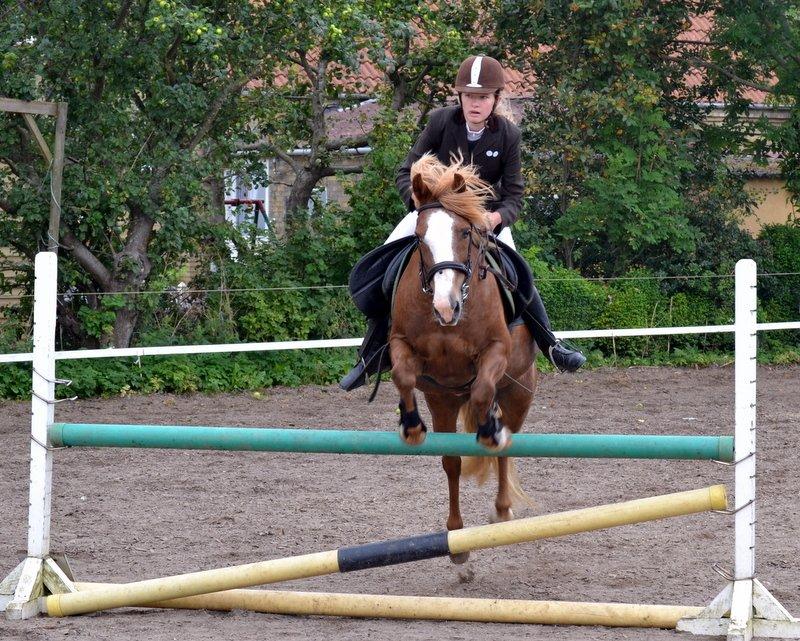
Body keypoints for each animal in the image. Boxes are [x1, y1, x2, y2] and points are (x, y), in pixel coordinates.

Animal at [389, 153, 538, 563]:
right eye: (419, 238)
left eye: (465, 234)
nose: (446, 306)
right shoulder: (408, 352)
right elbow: (402, 376)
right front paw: (411, 426)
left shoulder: (497, 351)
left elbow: (484, 389)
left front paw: (489, 429)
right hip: (442, 401)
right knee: (451, 461)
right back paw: (456, 540)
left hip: (520, 392)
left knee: (507, 442)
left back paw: (502, 508)